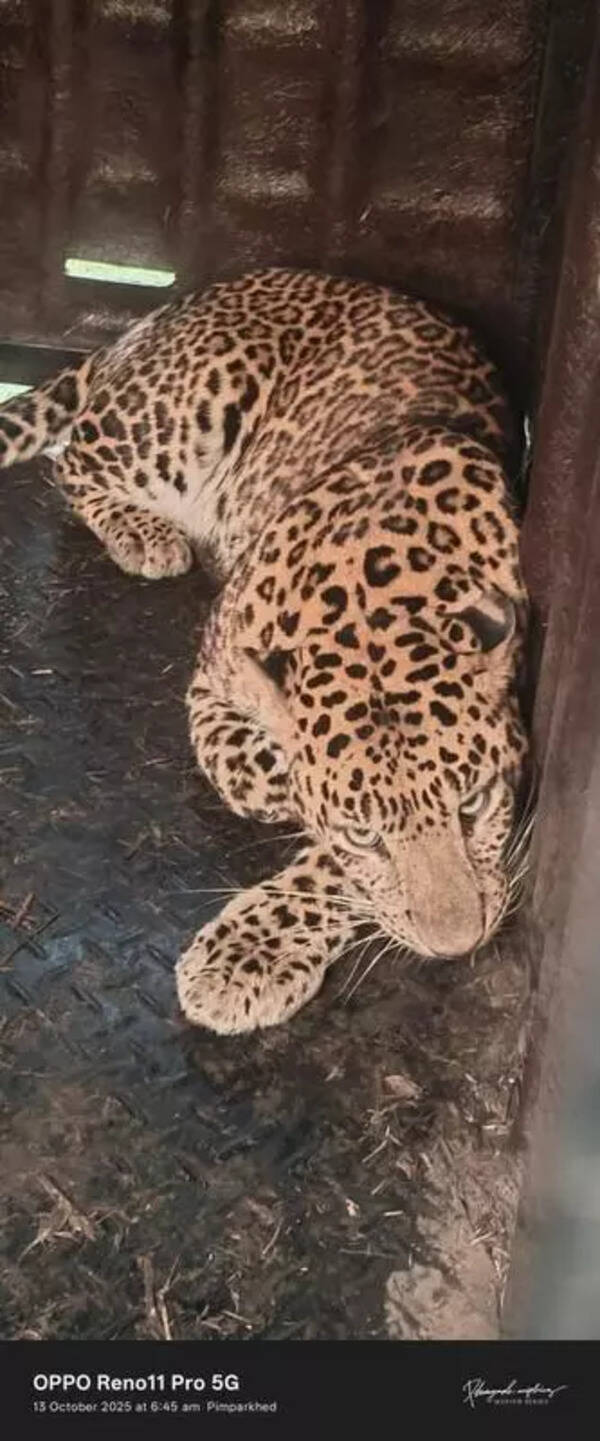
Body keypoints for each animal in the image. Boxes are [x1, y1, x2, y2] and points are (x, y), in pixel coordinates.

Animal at [0, 267, 530, 1034]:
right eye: (366, 834)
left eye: (476, 803)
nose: (458, 944)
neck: (374, 600)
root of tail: (193, 299)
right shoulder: (208, 682)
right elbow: (252, 773)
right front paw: (284, 786)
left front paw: (248, 953)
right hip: (178, 418)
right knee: (73, 457)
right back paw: (145, 534)